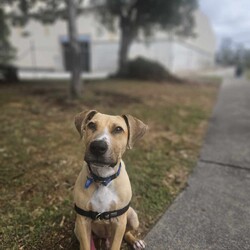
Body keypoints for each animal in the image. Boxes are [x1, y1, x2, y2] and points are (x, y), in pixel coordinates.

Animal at [73, 111, 146, 250]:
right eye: (91, 125)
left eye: (118, 129)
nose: (97, 146)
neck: (103, 179)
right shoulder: (83, 222)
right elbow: (86, 245)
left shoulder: (119, 222)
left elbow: (116, 244)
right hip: (77, 228)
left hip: (133, 217)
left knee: (126, 232)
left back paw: (135, 241)